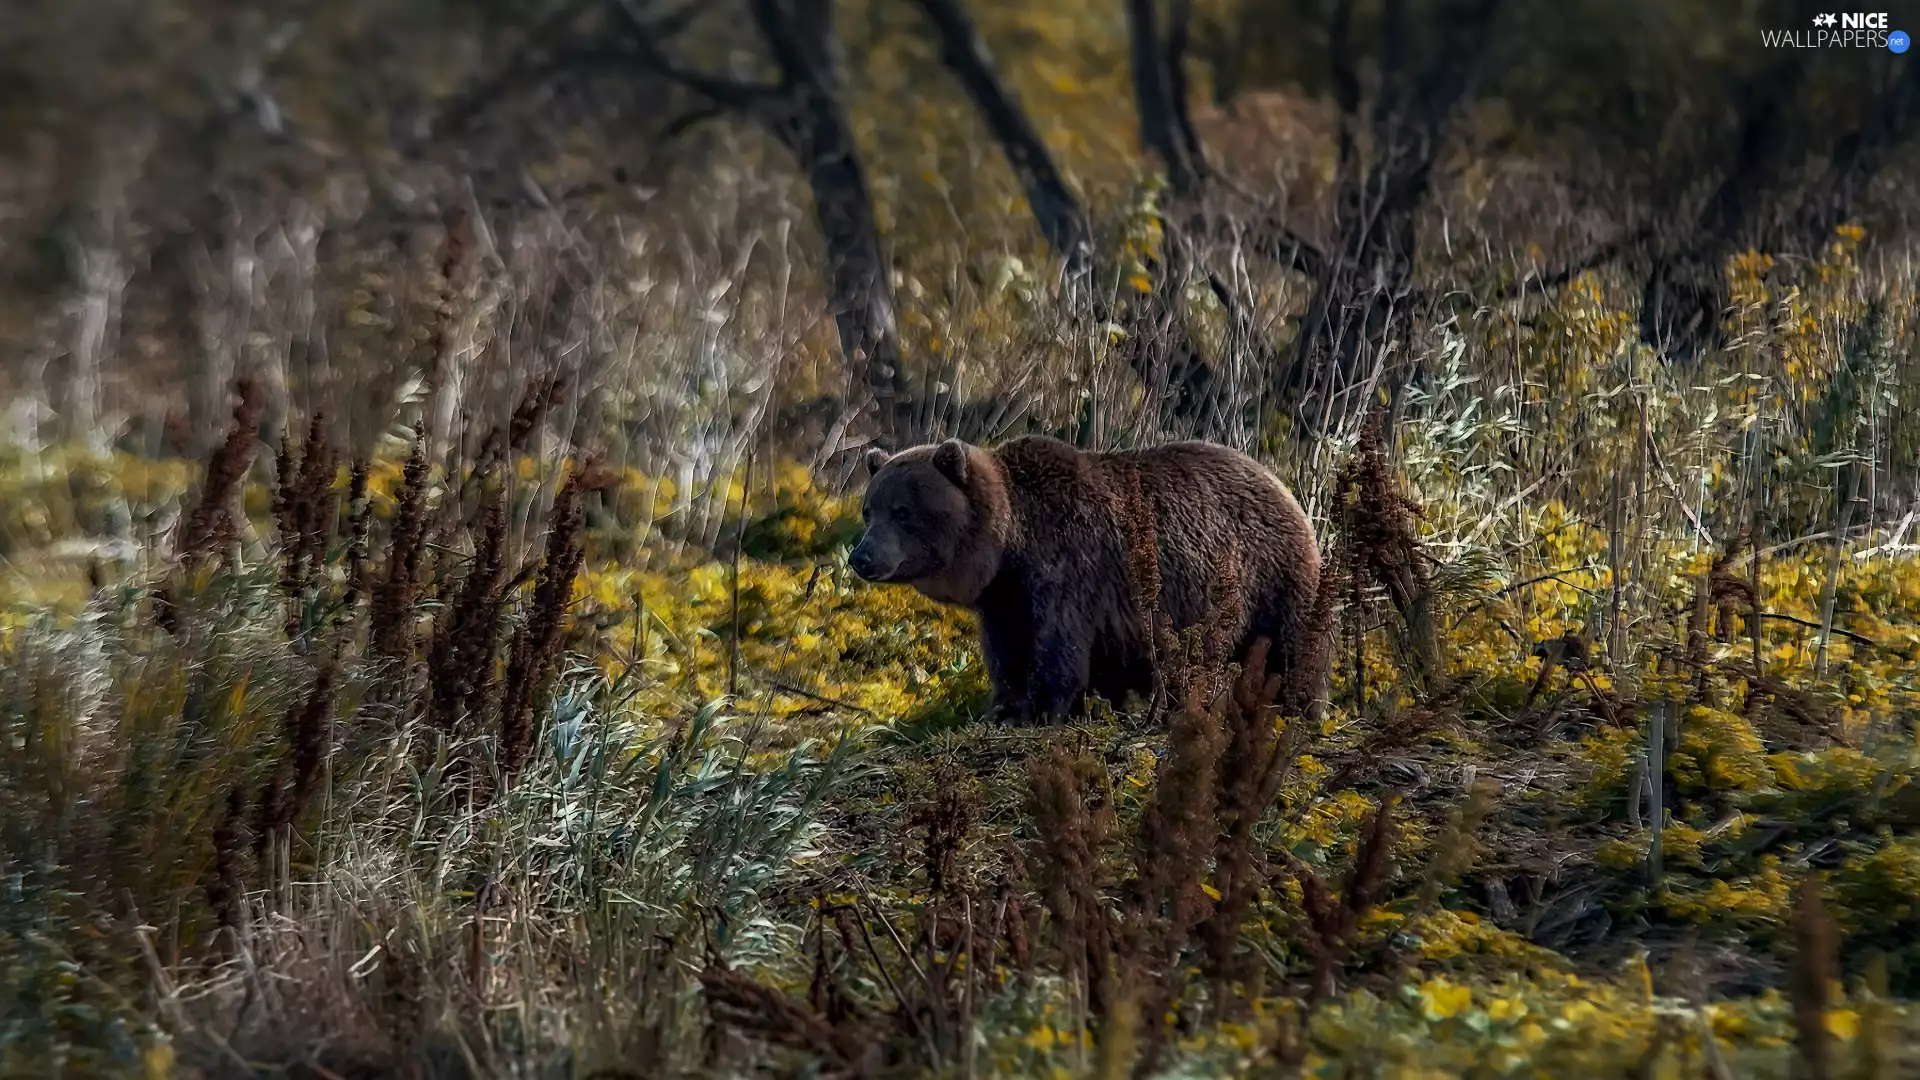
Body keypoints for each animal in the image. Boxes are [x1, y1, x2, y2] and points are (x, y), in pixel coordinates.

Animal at [848, 434, 1320, 722]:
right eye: (869, 510)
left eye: (903, 512)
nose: (861, 556)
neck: (1010, 547)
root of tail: (1282, 485)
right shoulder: (1005, 599)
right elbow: (1007, 652)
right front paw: (1003, 708)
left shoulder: (1069, 570)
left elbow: (1059, 648)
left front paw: (1042, 710)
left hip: (1270, 574)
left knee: (1294, 645)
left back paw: (1300, 707)